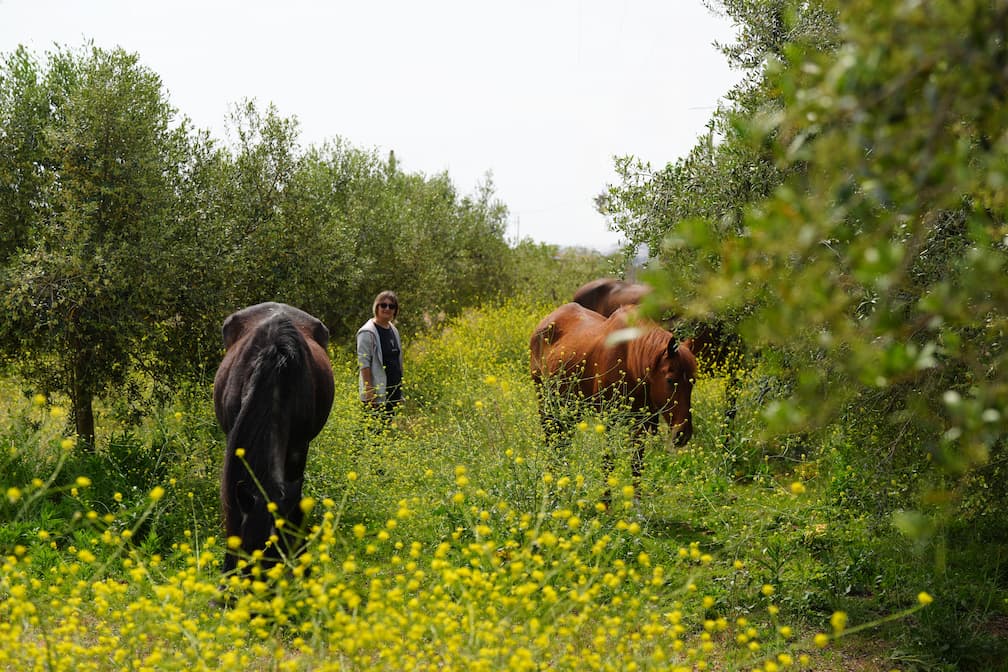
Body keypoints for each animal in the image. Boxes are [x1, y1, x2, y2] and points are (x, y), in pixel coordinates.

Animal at [530, 302, 697, 501]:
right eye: (671, 380)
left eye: (693, 382)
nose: (683, 434)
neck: (629, 359)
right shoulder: (608, 420)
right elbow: (608, 461)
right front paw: (606, 502)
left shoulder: (639, 422)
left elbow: (637, 462)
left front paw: (636, 504)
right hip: (547, 406)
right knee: (552, 441)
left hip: (570, 410)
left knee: (562, 443)